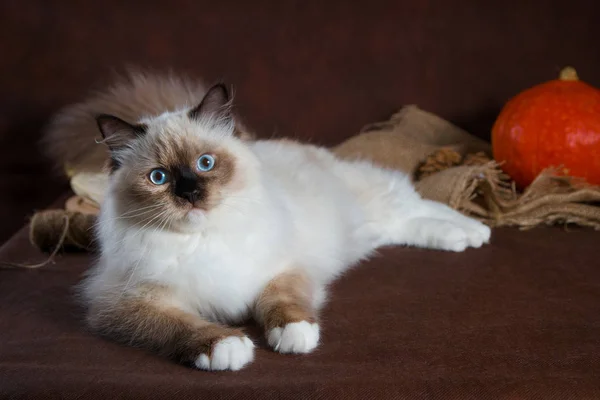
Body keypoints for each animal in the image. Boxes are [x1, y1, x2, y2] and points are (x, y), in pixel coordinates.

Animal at [55, 73, 492, 370]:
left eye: (205, 164)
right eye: (159, 177)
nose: (190, 193)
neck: (204, 240)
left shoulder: (285, 269)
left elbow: (281, 302)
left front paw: (295, 336)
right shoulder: (127, 304)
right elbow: (183, 326)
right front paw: (227, 348)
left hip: (369, 202)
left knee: (413, 200)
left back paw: (475, 231)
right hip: (366, 229)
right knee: (401, 222)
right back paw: (464, 235)